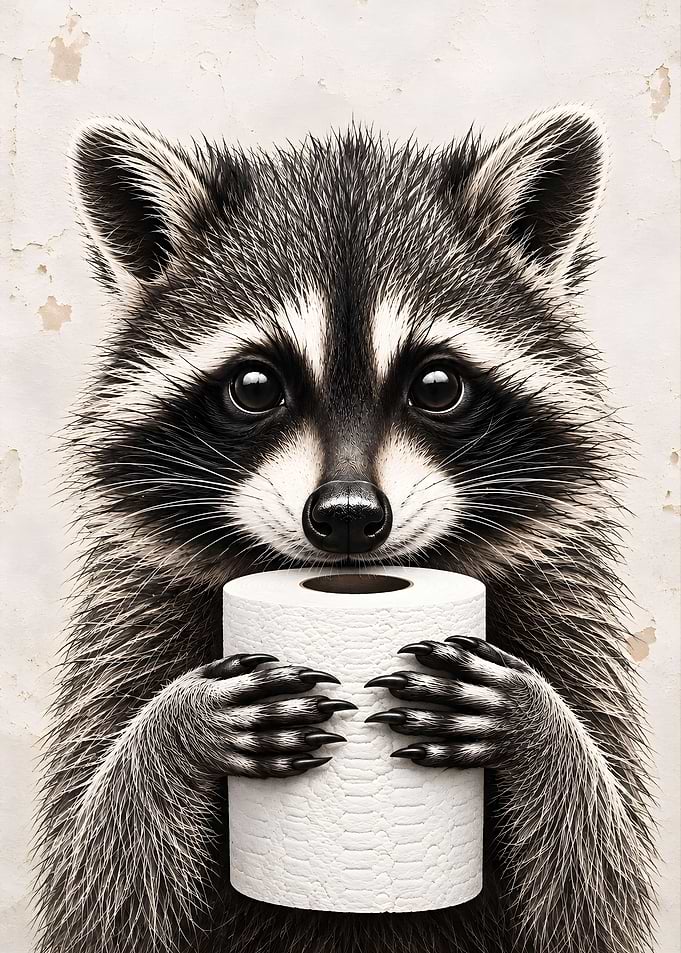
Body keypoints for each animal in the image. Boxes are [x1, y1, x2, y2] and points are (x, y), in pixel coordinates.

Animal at [34, 108, 656, 953]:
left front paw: (541, 724)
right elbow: (94, 881)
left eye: (438, 385)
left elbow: (599, 883)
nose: (350, 516)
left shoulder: (571, 610)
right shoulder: (125, 618)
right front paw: (174, 726)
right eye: (254, 386)